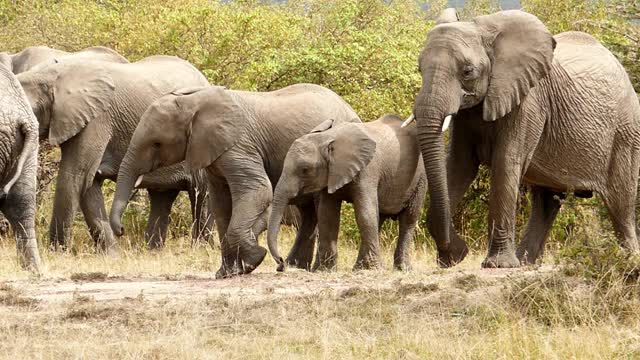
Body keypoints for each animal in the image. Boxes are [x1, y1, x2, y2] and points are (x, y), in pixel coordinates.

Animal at [16, 55, 212, 253]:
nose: (122, 230)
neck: (53, 74)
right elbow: (89, 183)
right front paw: (111, 255)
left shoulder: (96, 119)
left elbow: (75, 176)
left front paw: (56, 253)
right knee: (162, 197)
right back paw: (153, 251)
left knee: (202, 196)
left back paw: (201, 249)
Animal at [109, 84, 360, 278]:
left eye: (156, 144)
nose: (121, 230)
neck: (195, 102)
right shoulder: (213, 153)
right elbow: (221, 203)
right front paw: (227, 273)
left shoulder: (238, 145)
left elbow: (258, 190)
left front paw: (254, 260)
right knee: (308, 210)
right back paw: (295, 266)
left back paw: (310, 269)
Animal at [268, 114, 428, 272]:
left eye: (305, 170)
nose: (281, 264)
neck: (328, 138)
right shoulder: (331, 174)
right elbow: (327, 215)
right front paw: (325, 270)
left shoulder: (367, 170)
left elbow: (364, 213)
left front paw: (372, 270)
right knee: (379, 217)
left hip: (420, 179)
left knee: (409, 218)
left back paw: (402, 269)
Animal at [408, 8, 640, 268]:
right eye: (419, 69)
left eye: (467, 71)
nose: (457, 251)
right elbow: (459, 166)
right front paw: (455, 258)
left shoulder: (529, 101)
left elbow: (505, 163)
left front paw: (497, 266)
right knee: (546, 202)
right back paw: (525, 262)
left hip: (625, 132)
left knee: (621, 203)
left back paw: (629, 260)